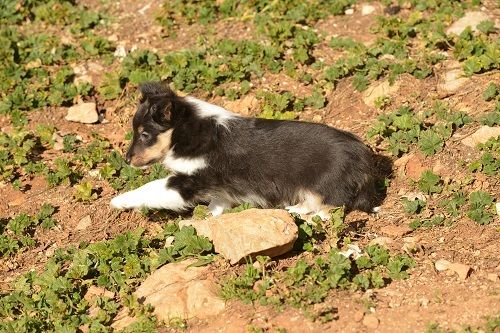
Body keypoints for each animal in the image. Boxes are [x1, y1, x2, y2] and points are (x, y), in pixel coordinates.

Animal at [110, 81, 382, 218]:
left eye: (144, 135)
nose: (127, 160)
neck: (188, 132)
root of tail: (365, 160)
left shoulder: (191, 181)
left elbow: (151, 188)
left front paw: (119, 201)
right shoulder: (219, 186)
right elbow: (219, 202)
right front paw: (209, 217)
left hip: (325, 185)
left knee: (327, 207)